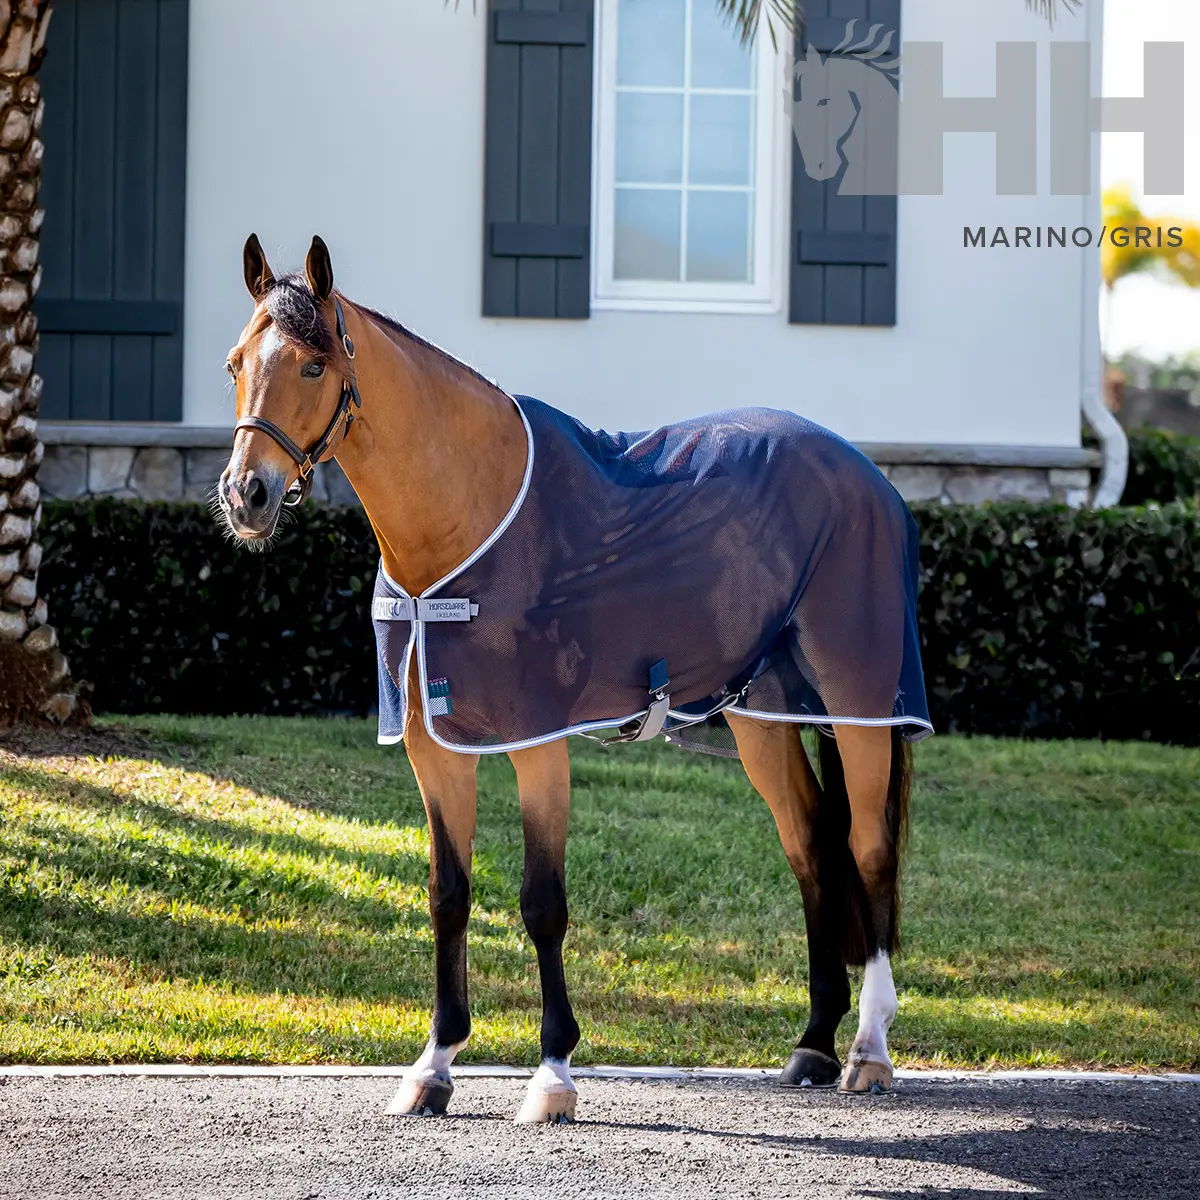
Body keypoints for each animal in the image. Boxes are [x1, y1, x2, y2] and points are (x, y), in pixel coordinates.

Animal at [218, 233, 925, 1122]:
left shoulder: (537, 740)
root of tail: (868, 477)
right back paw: (813, 1045)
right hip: (762, 719)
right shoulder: (432, 748)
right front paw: (434, 1064)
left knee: (867, 849)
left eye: (313, 365)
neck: (470, 517)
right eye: (235, 362)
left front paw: (553, 1073)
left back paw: (869, 1049)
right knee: (810, 849)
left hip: (861, 705)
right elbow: (448, 895)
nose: (246, 495)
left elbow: (541, 901)